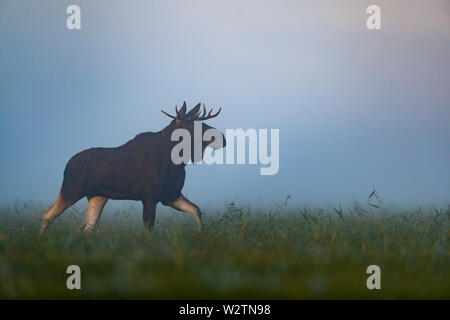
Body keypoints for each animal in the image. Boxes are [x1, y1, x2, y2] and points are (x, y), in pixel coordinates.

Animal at [39, 102, 225, 235]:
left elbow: (196, 210)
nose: (222, 138)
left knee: (85, 227)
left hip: (98, 196)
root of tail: (67, 165)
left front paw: (202, 233)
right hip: (71, 189)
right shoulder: (150, 197)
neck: (178, 160)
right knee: (48, 212)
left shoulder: (170, 194)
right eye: (194, 127)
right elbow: (149, 229)